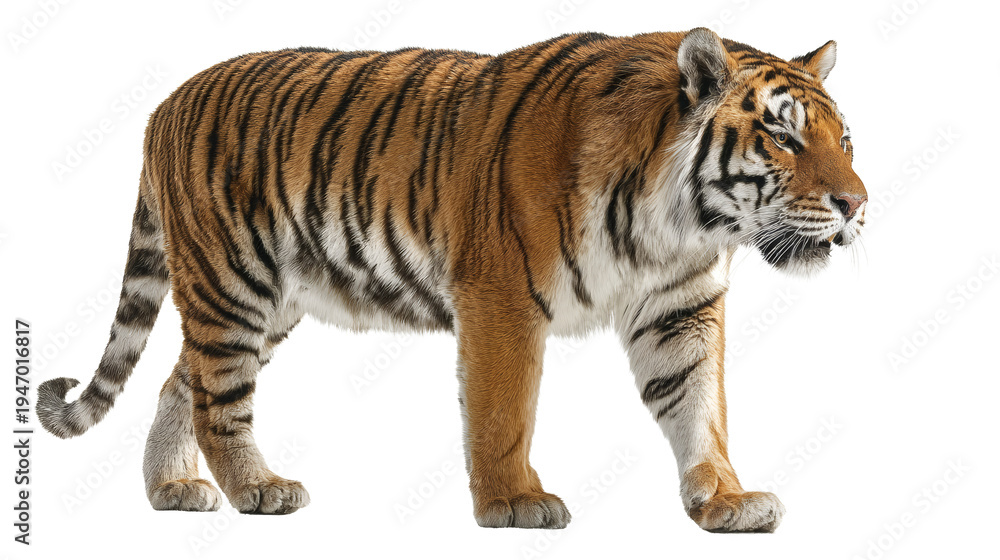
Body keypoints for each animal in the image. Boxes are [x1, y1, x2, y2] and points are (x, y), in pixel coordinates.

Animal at [37, 27, 866, 532]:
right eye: (784, 137)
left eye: (845, 140)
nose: (857, 204)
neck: (677, 224)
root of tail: (163, 105)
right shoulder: (502, 295)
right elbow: (504, 412)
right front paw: (515, 503)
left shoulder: (679, 309)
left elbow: (700, 406)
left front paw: (725, 500)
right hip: (234, 283)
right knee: (219, 401)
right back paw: (256, 489)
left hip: (269, 301)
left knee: (184, 383)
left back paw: (171, 491)